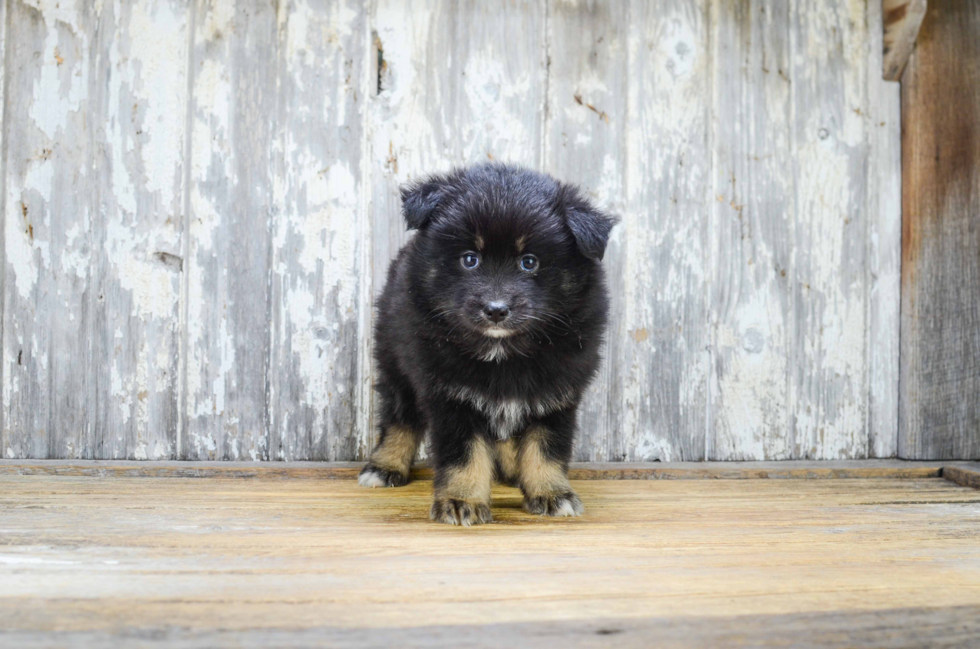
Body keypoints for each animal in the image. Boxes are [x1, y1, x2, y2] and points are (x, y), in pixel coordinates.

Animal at [360, 162, 616, 528]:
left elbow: (546, 448)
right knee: (399, 418)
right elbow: (464, 453)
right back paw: (385, 465)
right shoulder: (451, 395)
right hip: (394, 360)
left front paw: (551, 493)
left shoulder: (557, 394)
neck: (502, 351)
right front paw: (461, 500)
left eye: (529, 262)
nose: (495, 310)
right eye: (470, 259)